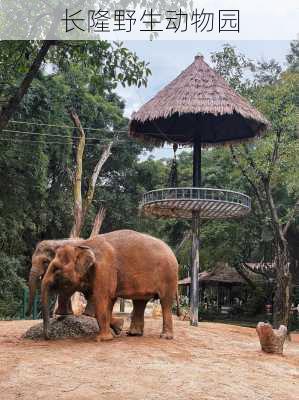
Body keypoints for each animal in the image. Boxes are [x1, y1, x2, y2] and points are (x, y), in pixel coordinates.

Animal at [41, 231, 179, 340]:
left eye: (56, 269)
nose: (49, 337)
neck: (84, 245)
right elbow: (105, 299)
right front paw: (117, 329)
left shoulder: (104, 269)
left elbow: (102, 298)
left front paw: (102, 339)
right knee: (140, 302)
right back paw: (133, 334)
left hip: (169, 276)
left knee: (165, 302)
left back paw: (165, 337)